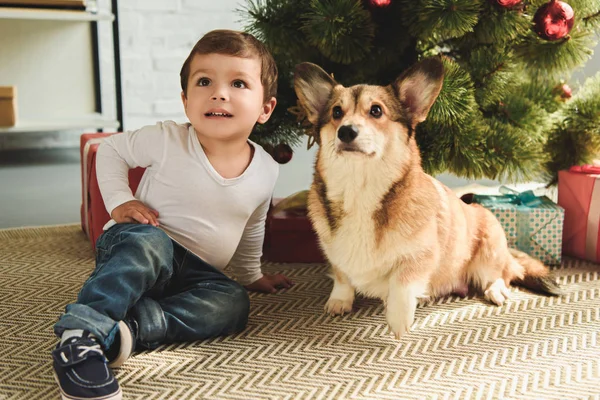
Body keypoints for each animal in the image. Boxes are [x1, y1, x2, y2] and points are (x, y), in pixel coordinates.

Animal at [292, 57, 560, 338]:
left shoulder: (420, 255)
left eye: (376, 111)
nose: (345, 132)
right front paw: (340, 301)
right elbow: (342, 278)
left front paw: (398, 319)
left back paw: (495, 290)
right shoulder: (336, 256)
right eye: (336, 113)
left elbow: (401, 283)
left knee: (501, 274)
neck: (360, 189)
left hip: (490, 245)